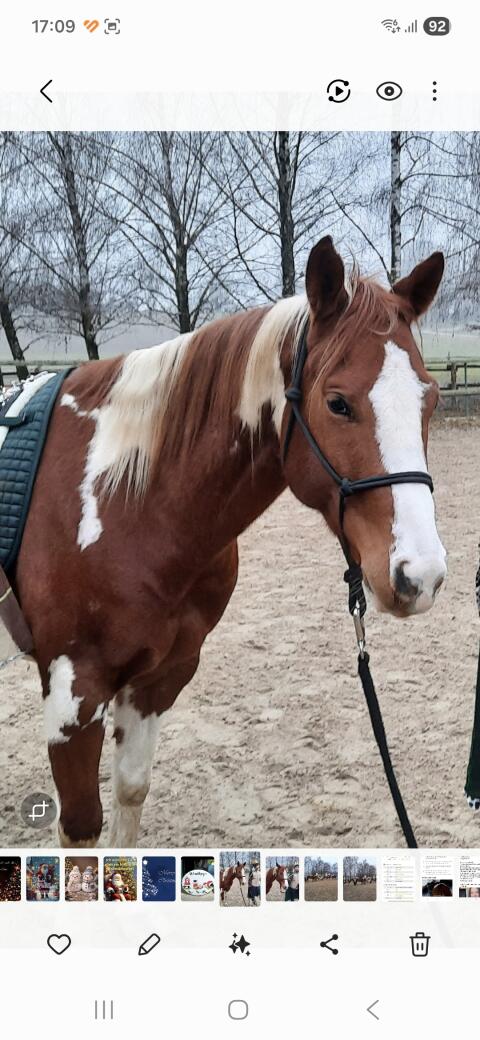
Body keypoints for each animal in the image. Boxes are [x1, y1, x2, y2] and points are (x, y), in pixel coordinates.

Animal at [13, 234, 446, 847]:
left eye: (430, 399)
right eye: (337, 403)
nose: (421, 575)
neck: (125, 499)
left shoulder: (158, 677)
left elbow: (131, 792)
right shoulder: (73, 693)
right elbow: (81, 829)